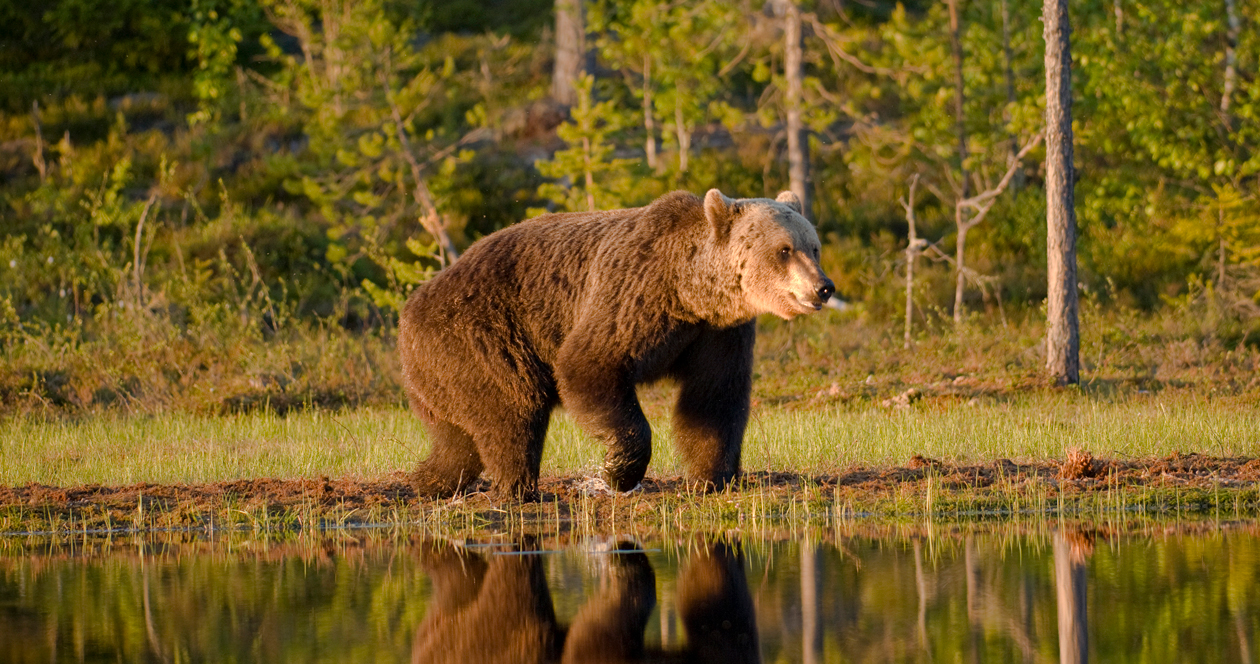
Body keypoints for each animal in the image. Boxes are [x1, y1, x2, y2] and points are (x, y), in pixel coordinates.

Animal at [403, 186, 831, 498]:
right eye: (784, 249)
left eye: (813, 246)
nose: (823, 287)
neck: (689, 292)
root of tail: (411, 308)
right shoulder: (633, 296)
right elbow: (588, 365)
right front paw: (617, 474)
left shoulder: (717, 333)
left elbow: (712, 399)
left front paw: (711, 476)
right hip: (478, 335)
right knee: (512, 410)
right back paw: (518, 489)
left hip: (442, 374)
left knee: (457, 439)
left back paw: (428, 482)